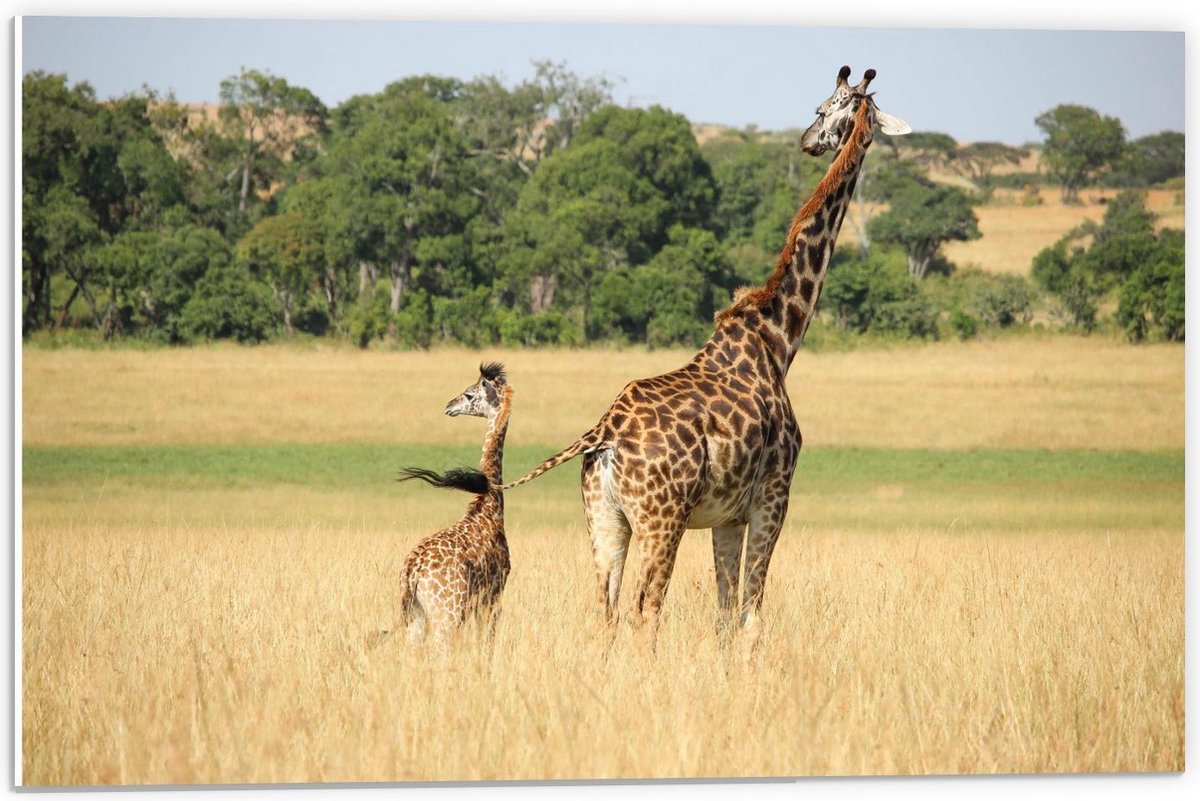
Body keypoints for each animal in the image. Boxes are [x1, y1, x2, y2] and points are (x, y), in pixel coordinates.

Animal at [390, 362, 513, 649]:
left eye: (469, 394)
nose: (449, 405)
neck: (488, 506)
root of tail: (412, 572)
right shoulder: (494, 593)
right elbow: (487, 641)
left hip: (417, 615)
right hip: (447, 613)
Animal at [496, 67, 910, 635]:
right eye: (825, 106)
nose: (808, 139)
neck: (779, 338)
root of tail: (602, 434)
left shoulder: (726, 516)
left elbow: (724, 612)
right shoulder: (774, 496)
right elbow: (752, 613)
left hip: (605, 518)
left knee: (606, 608)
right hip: (661, 519)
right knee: (645, 608)